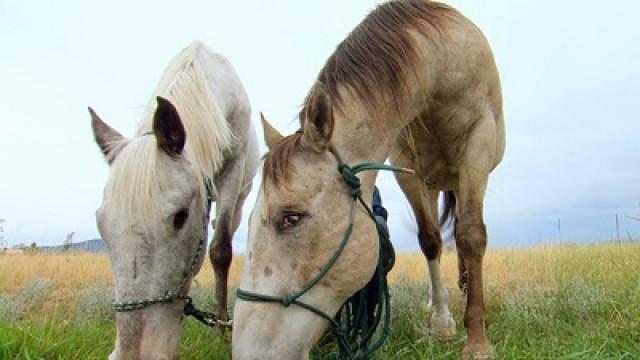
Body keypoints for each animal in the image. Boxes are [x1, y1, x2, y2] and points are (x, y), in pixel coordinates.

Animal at [90, 40, 260, 358]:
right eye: (100, 225)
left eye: (180, 217)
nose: (136, 353)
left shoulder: (233, 169)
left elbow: (220, 250)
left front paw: (220, 330)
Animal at [232, 1, 502, 358]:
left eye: (291, 218)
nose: (246, 351)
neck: (438, 70)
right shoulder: (408, 168)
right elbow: (430, 239)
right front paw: (442, 322)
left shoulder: (477, 146)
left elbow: (471, 236)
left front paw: (477, 339)